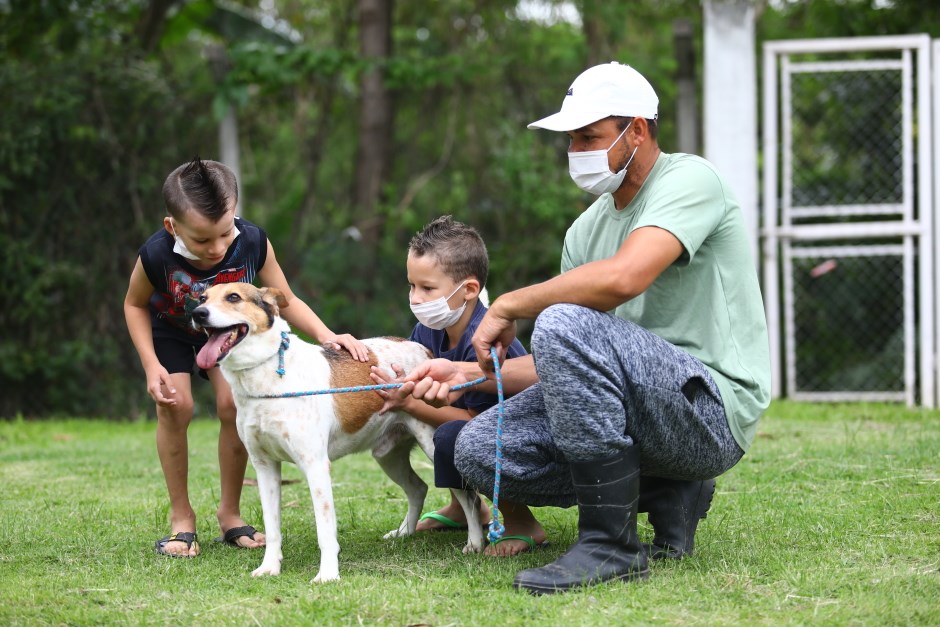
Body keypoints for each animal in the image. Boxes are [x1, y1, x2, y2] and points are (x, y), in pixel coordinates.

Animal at [191, 284, 484, 584]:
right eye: (202, 298)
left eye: (233, 297)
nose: (198, 313)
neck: (267, 376)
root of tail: (425, 350)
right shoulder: (264, 467)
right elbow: (272, 528)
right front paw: (269, 567)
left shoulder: (316, 466)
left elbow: (325, 531)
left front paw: (328, 574)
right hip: (388, 456)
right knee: (418, 488)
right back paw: (404, 533)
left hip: (433, 446)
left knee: (469, 497)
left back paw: (475, 542)